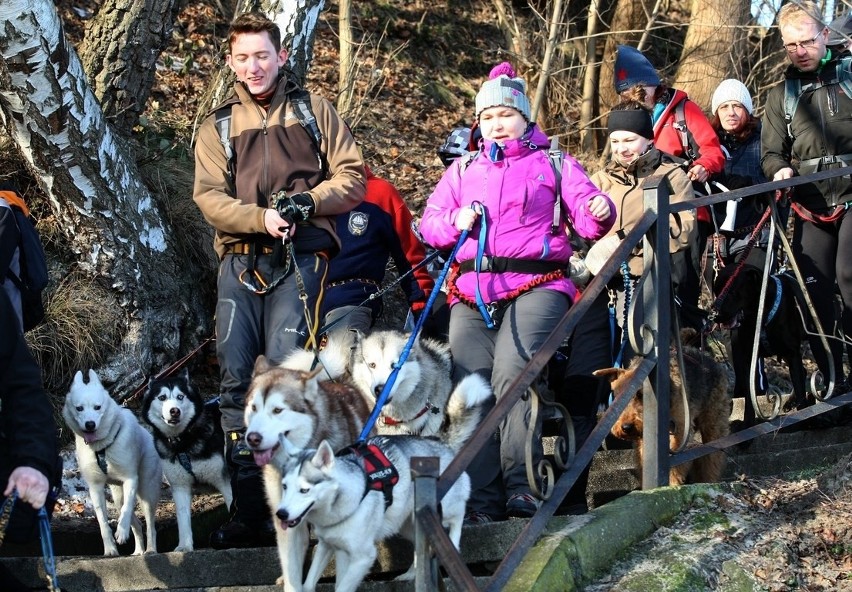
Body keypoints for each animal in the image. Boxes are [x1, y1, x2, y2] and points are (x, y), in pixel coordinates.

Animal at [596, 338, 728, 486]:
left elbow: (675, 464)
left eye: (641, 394)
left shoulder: (680, 429)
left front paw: (672, 483)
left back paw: (709, 480)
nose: (626, 427)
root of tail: (710, 359)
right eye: (617, 395)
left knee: (713, 456)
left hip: (713, 422)